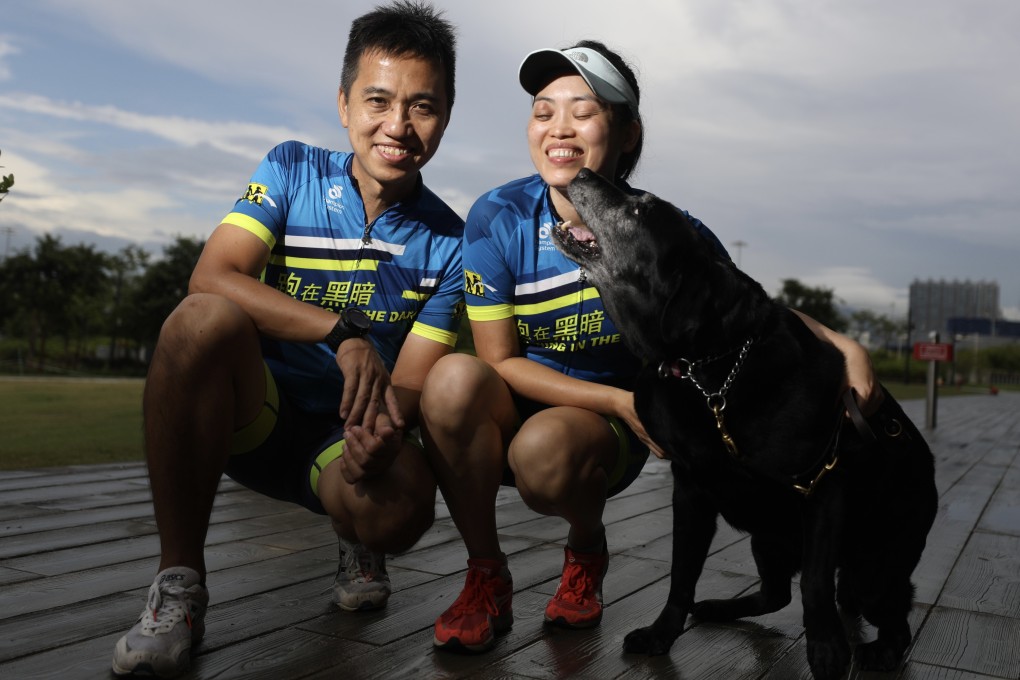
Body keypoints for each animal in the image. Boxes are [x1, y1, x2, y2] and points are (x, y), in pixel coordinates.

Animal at [554, 169, 934, 680]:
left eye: (641, 209)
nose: (581, 172)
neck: (710, 367)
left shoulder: (823, 485)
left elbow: (815, 583)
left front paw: (827, 651)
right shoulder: (690, 491)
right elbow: (681, 573)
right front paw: (662, 634)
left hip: (870, 570)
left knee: (891, 614)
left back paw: (881, 650)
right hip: (767, 540)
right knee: (776, 593)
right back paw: (719, 608)